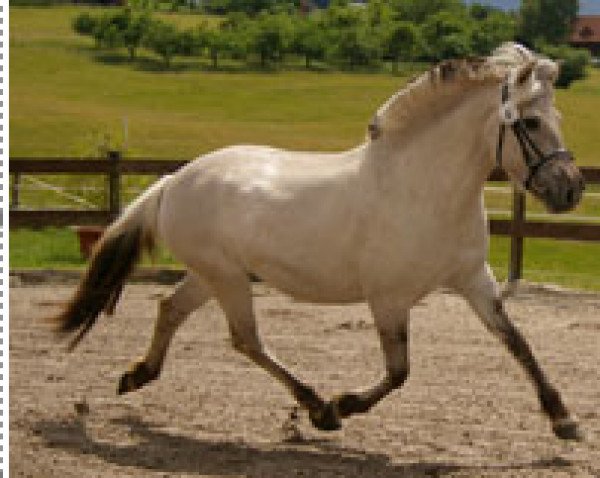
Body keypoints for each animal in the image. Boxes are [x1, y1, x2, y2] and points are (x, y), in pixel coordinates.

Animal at [52, 44, 584, 440]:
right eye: (531, 122)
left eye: (557, 116)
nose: (572, 190)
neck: (424, 189)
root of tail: (174, 180)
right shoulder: (388, 299)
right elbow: (399, 371)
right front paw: (342, 405)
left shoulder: (474, 279)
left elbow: (517, 342)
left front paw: (564, 419)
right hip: (226, 277)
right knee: (245, 339)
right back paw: (316, 407)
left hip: (214, 274)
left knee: (170, 309)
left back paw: (138, 375)